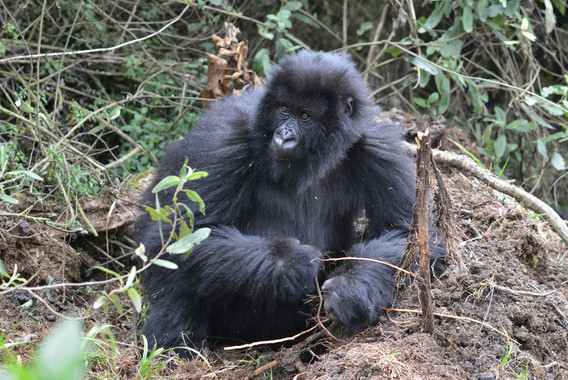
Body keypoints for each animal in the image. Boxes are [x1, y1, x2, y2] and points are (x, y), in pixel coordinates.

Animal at [135, 50, 446, 356]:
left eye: (305, 115)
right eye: (284, 109)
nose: (284, 136)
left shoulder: (378, 146)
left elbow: (410, 233)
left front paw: (351, 286)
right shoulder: (222, 141)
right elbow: (181, 236)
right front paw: (290, 263)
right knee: (180, 275)